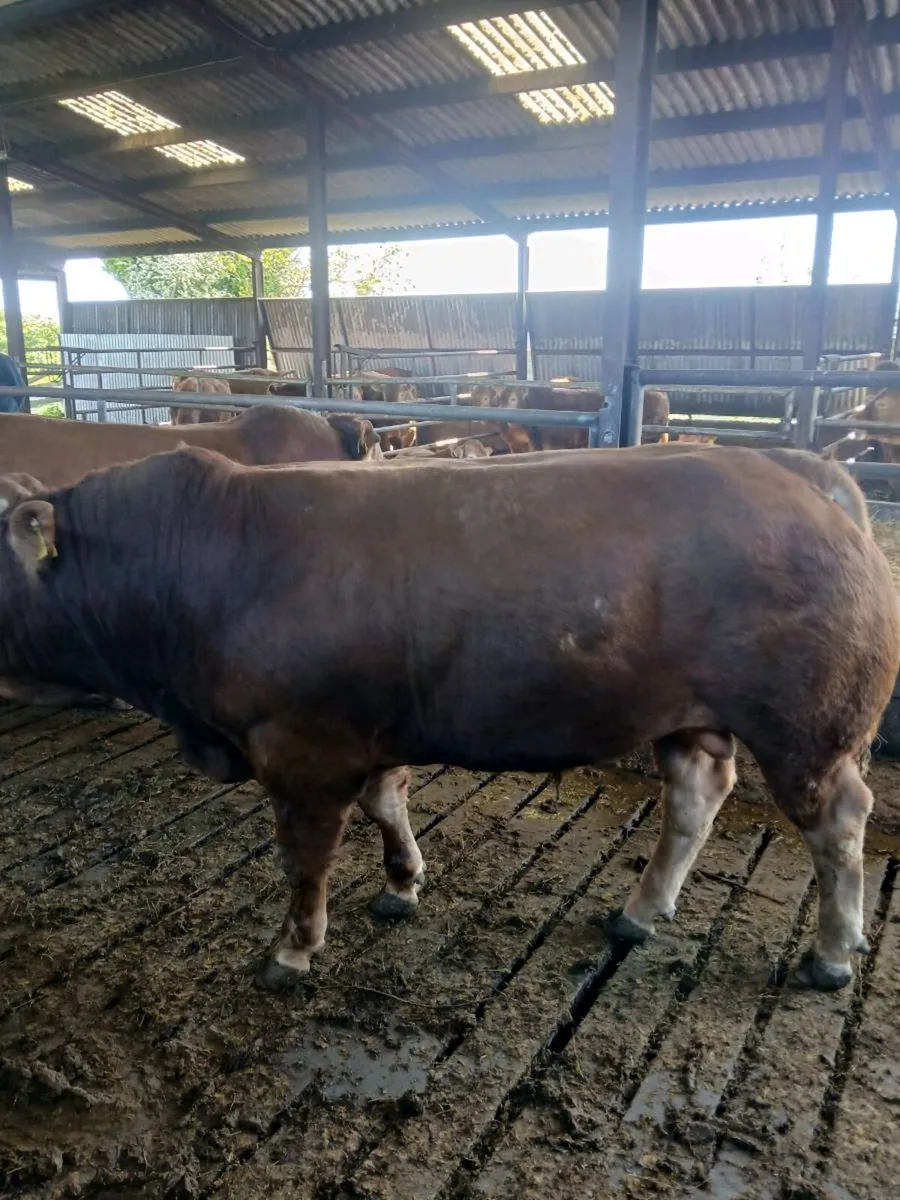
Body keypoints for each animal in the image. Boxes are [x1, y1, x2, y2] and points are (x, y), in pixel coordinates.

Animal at [0, 443, 895, 997]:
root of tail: (799, 466)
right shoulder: (367, 731)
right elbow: (386, 799)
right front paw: (402, 882)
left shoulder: (300, 747)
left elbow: (306, 858)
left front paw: (293, 949)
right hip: (689, 714)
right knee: (697, 794)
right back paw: (639, 911)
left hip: (808, 726)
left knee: (837, 821)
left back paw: (830, 954)